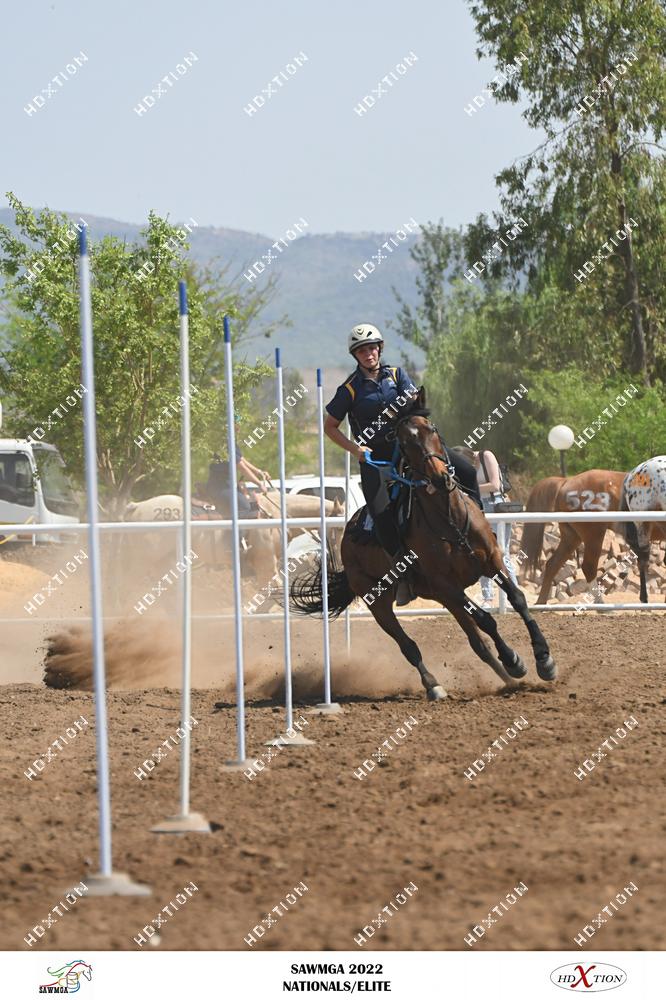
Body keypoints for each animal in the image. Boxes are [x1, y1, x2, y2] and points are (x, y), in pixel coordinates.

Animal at [290, 388, 556, 700]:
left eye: (432, 429)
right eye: (404, 442)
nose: (440, 477)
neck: (449, 519)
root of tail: (346, 537)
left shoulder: (490, 562)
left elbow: (518, 598)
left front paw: (543, 659)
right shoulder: (447, 585)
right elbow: (487, 619)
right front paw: (514, 660)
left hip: (441, 598)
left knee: (478, 644)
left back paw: (506, 679)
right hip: (380, 602)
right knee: (409, 646)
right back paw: (435, 685)